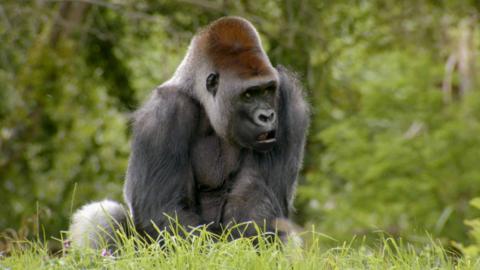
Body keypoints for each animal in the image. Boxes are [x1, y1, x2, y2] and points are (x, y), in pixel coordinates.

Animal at [70, 16, 312, 249]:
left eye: (268, 90)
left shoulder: (287, 98)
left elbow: (255, 200)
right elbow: (164, 209)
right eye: (249, 94)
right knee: (103, 214)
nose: (267, 116)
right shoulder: (164, 112)